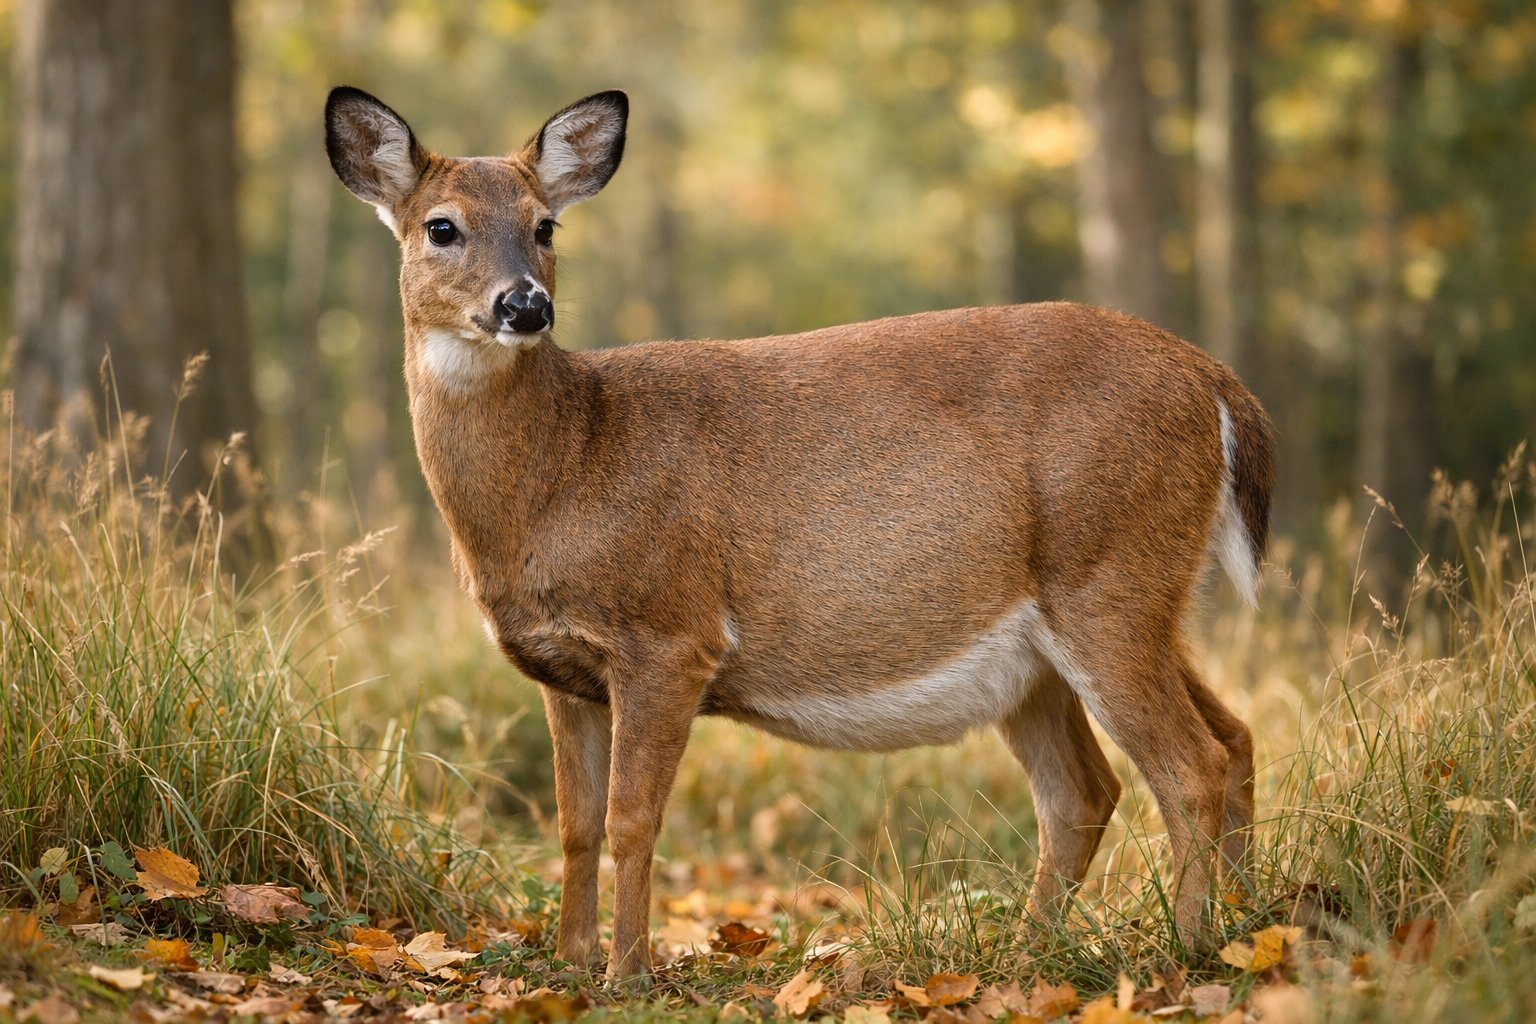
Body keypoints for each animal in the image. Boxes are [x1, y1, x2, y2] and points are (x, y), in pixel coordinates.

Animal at [325, 85, 1275, 979]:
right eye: (441, 227)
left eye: (544, 224)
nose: (525, 306)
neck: (565, 471)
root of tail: (1215, 380)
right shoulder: (565, 669)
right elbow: (574, 824)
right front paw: (569, 961)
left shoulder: (670, 633)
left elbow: (633, 819)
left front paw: (628, 970)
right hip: (1073, 633)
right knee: (1152, 766)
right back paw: (1141, 941)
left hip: (1109, 575)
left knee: (1188, 765)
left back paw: (1190, 948)